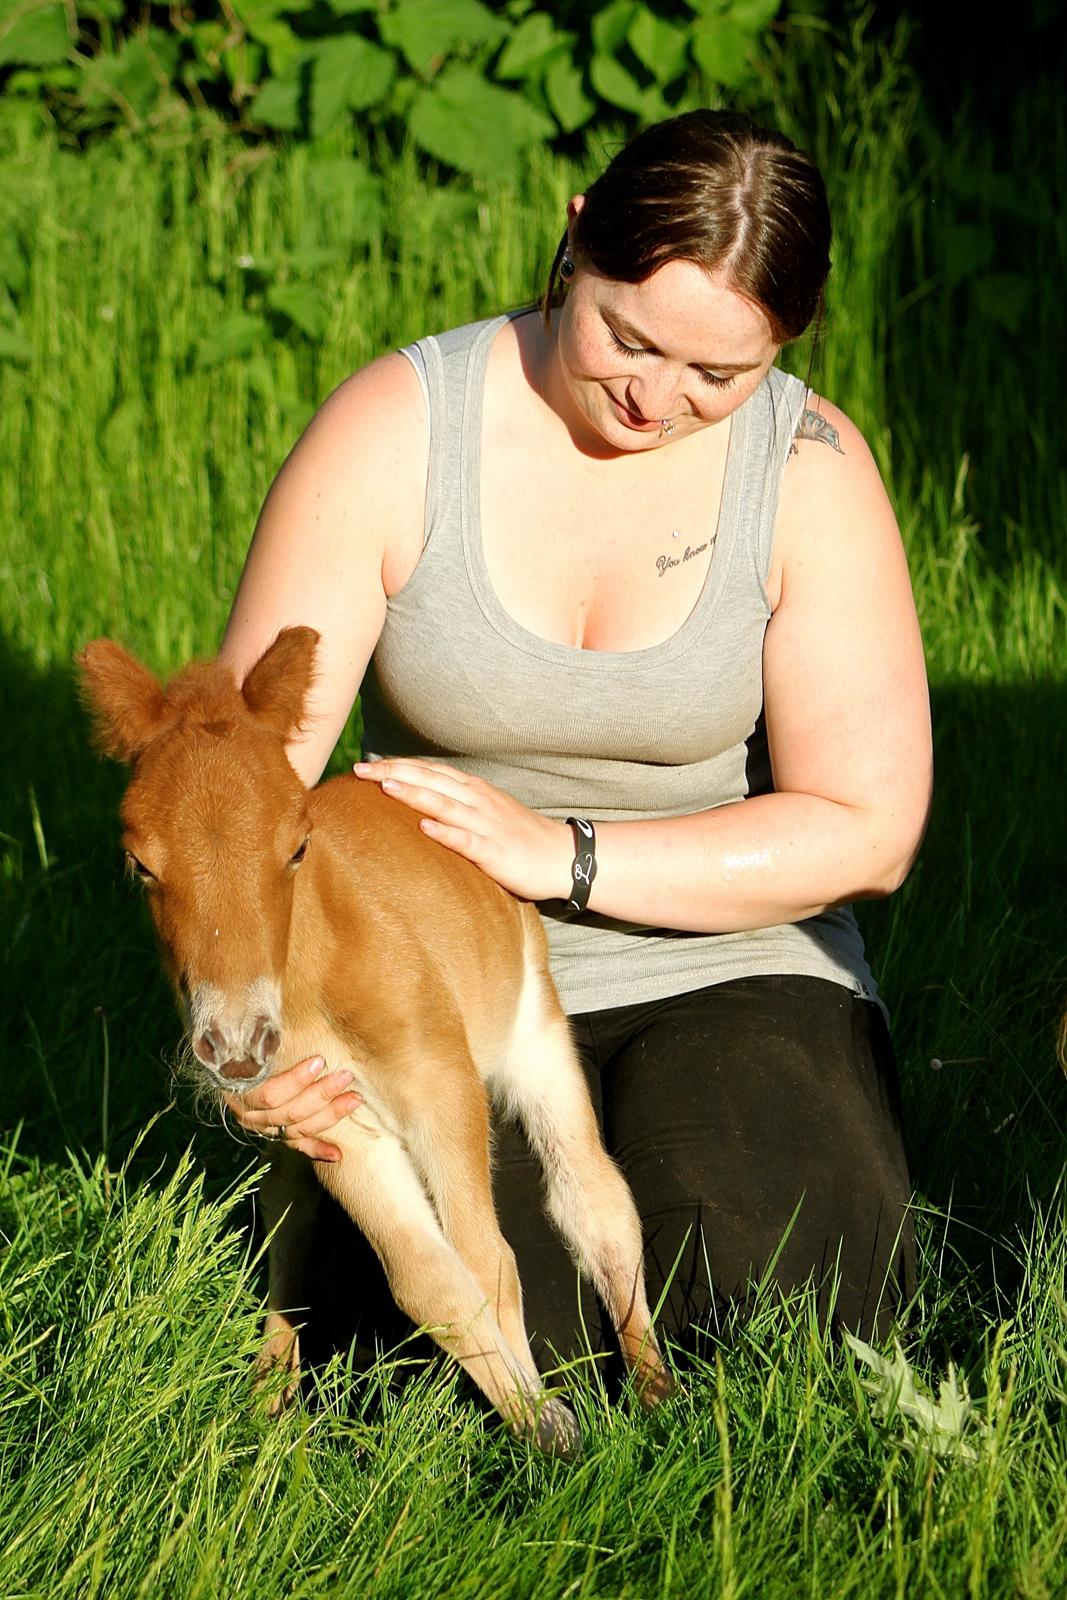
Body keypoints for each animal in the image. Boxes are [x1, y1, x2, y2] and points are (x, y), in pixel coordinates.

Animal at [79, 630, 671, 1459]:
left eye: (297, 848)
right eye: (140, 865)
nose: (235, 1048)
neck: (312, 979)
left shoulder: (441, 1084)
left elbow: (489, 1262)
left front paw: (543, 1425)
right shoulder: (329, 1118)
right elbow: (426, 1280)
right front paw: (539, 1422)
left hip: (534, 1036)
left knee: (594, 1200)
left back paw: (657, 1392)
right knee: (287, 1219)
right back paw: (270, 1388)